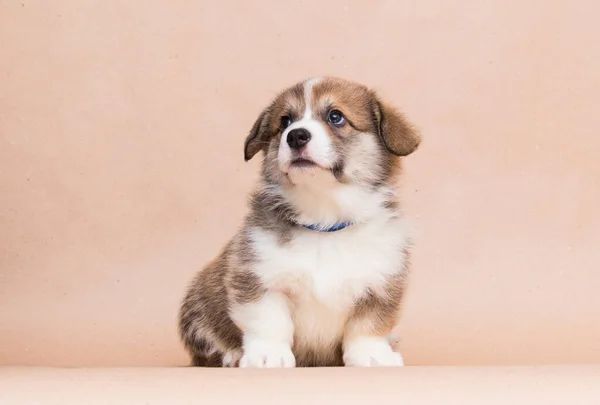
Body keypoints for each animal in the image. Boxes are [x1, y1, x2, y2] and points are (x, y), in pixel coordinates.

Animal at [178, 76, 422, 366]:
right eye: (285, 121)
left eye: (336, 116)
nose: (295, 135)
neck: (325, 221)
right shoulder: (258, 278)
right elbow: (269, 322)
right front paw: (267, 355)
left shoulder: (381, 285)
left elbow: (368, 326)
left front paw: (372, 355)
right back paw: (231, 356)